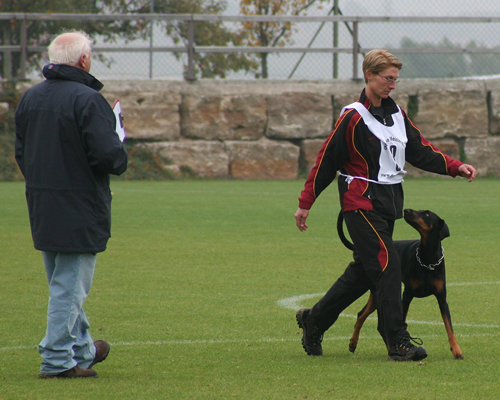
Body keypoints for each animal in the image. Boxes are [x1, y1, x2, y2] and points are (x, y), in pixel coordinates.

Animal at [338, 209, 462, 360]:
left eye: (427, 214)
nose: (406, 210)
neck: (427, 258)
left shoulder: (442, 299)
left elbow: (449, 327)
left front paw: (457, 350)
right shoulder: (407, 295)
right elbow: (400, 323)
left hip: (376, 295)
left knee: (362, 314)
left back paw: (353, 343)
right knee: (378, 323)